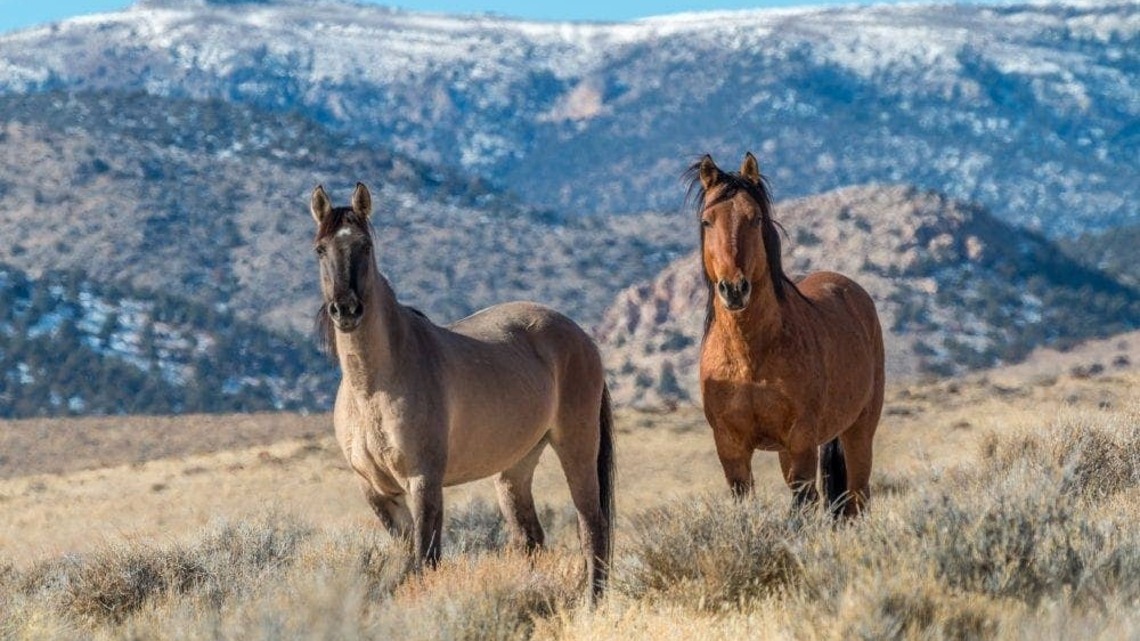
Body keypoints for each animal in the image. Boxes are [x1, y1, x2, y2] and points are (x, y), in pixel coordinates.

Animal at [308, 183, 614, 602]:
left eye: (365, 246)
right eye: (320, 249)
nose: (346, 310)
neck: (374, 388)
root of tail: (582, 337)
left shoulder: (424, 482)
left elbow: (426, 560)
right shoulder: (378, 492)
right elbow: (409, 560)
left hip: (576, 446)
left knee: (591, 528)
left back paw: (593, 604)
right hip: (516, 466)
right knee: (530, 538)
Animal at [690, 153, 884, 518]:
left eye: (754, 219)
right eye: (707, 221)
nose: (734, 289)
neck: (750, 356)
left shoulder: (801, 440)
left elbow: (803, 502)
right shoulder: (731, 447)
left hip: (859, 430)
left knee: (858, 496)